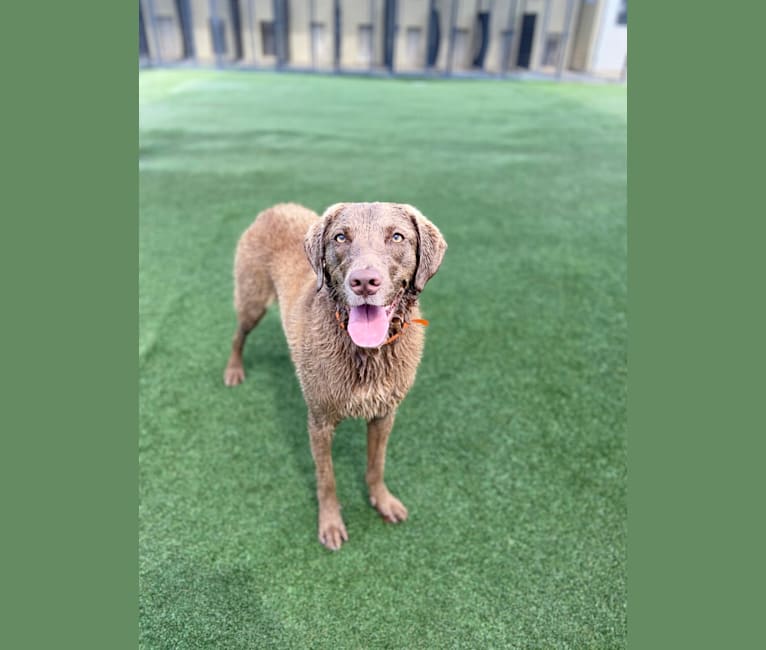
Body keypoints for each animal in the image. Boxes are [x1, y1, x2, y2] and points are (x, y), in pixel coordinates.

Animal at [225, 201, 448, 548]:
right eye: (340, 237)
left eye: (397, 237)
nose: (364, 282)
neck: (367, 353)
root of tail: (276, 208)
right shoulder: (319, 422)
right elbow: (326, 478)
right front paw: (330, 524)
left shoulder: (385, 414)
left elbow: (376, 464)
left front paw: (383, 501)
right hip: (253, 298)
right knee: (239, 333)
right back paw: (234, 370)